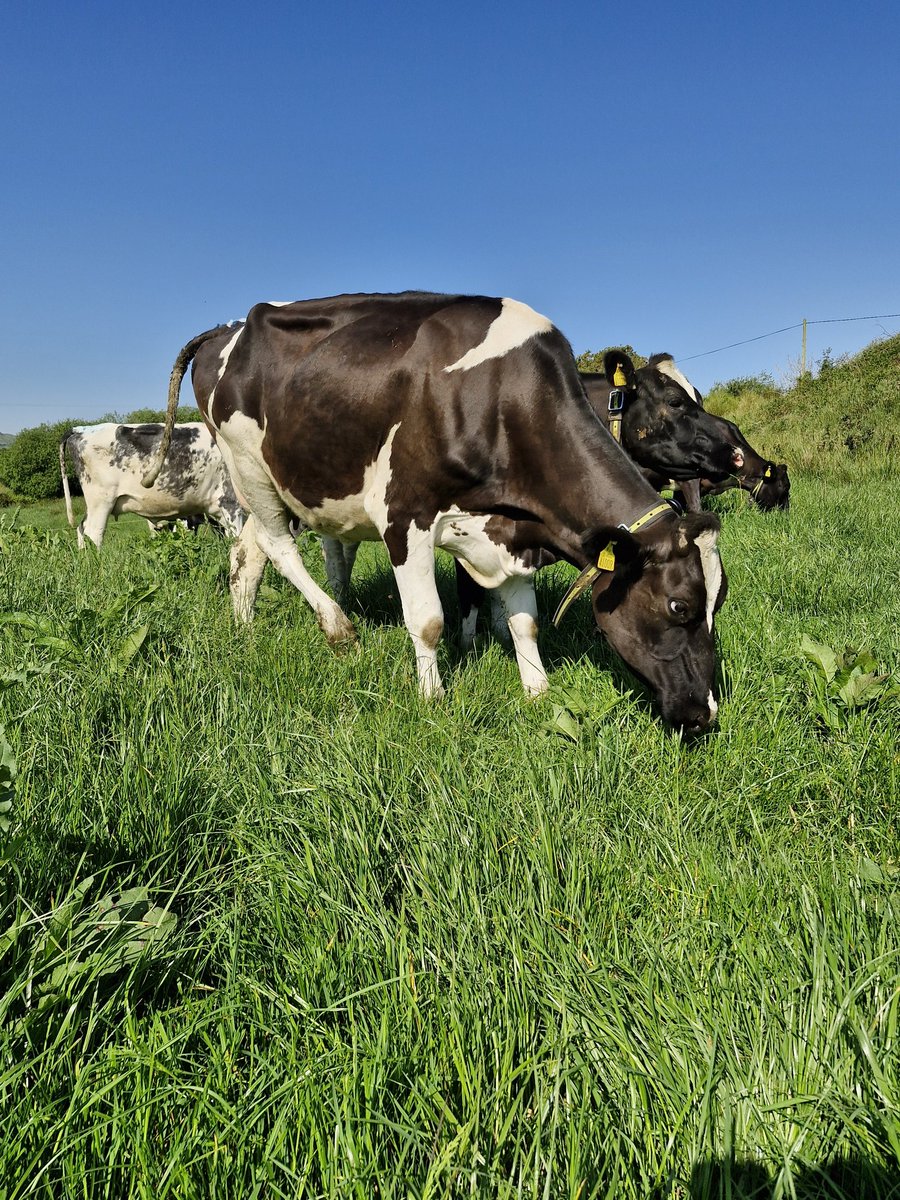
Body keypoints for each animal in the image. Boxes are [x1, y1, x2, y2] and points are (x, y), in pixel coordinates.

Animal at [144, 295, 729, 734]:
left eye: (717, 603)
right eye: (679, 606)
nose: (705, 715)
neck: (502, 400)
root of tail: (229, 327)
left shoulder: (512, 531)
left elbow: (525, 621)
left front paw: (538, 692)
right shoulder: (404, 515)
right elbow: (427, 621)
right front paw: (433, 699)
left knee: (248, 554)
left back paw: (245, 628)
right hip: (248, 465)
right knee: (280, 547)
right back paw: (338, 627)